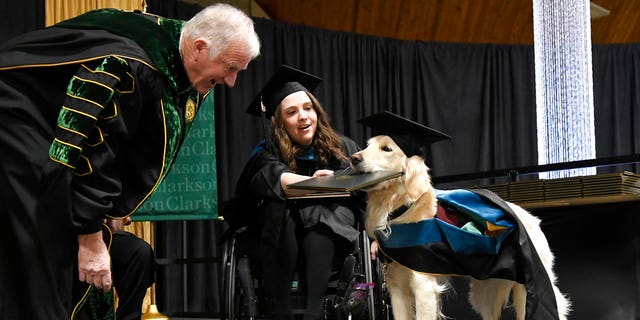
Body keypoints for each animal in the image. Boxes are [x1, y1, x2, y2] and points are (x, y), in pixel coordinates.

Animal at [350, 112, 568, 320]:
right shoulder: (396, 286)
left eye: (387, 149)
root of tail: (531, 218)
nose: (354, 158)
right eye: (367, 146)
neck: (399, 208)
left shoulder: (423, 285)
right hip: (486, 290)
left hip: (526, 287)